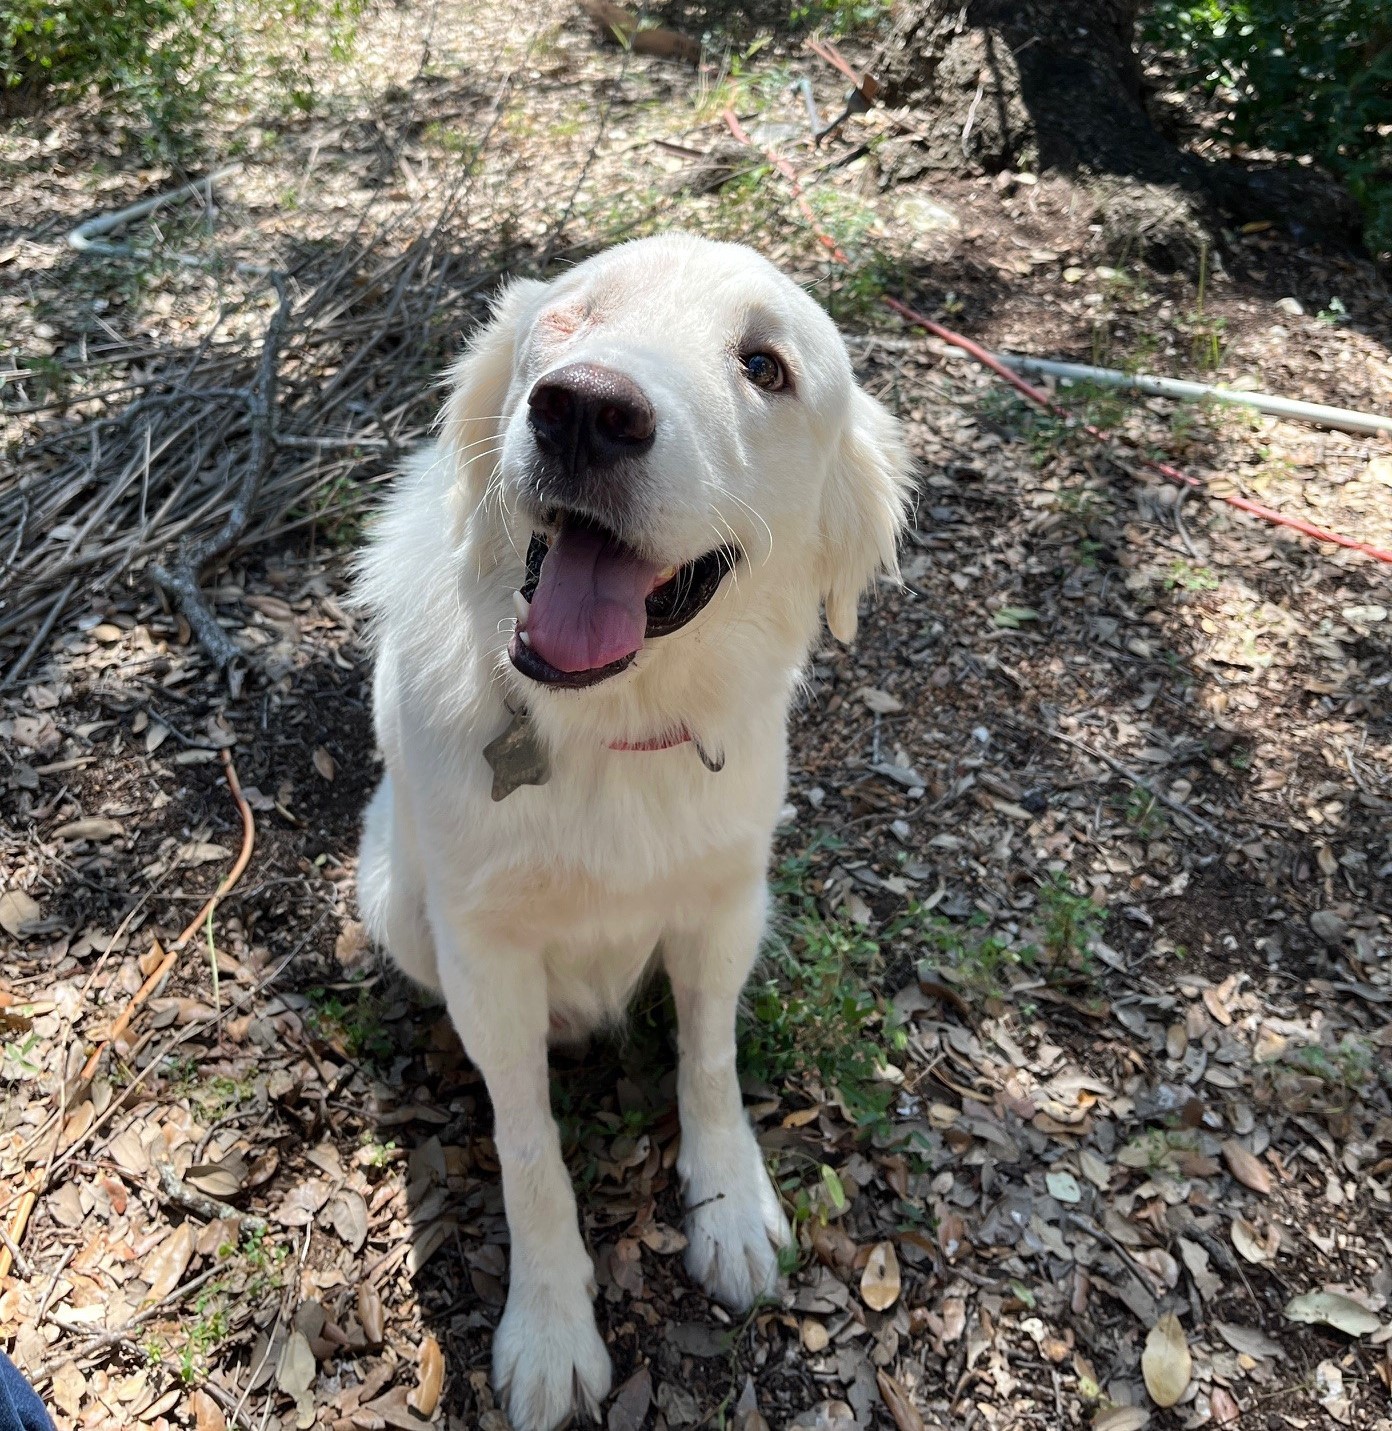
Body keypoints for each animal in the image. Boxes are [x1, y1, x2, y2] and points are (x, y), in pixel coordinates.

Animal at [353, 234, 909, 1431]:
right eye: (574, 318)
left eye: (764, 366)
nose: (586, 410)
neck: (605, 721)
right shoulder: (486, 954)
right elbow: (527, 1145)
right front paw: (552, 1326)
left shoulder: (723, 907)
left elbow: (710, 1057)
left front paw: (729, 1204)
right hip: (394, 897)